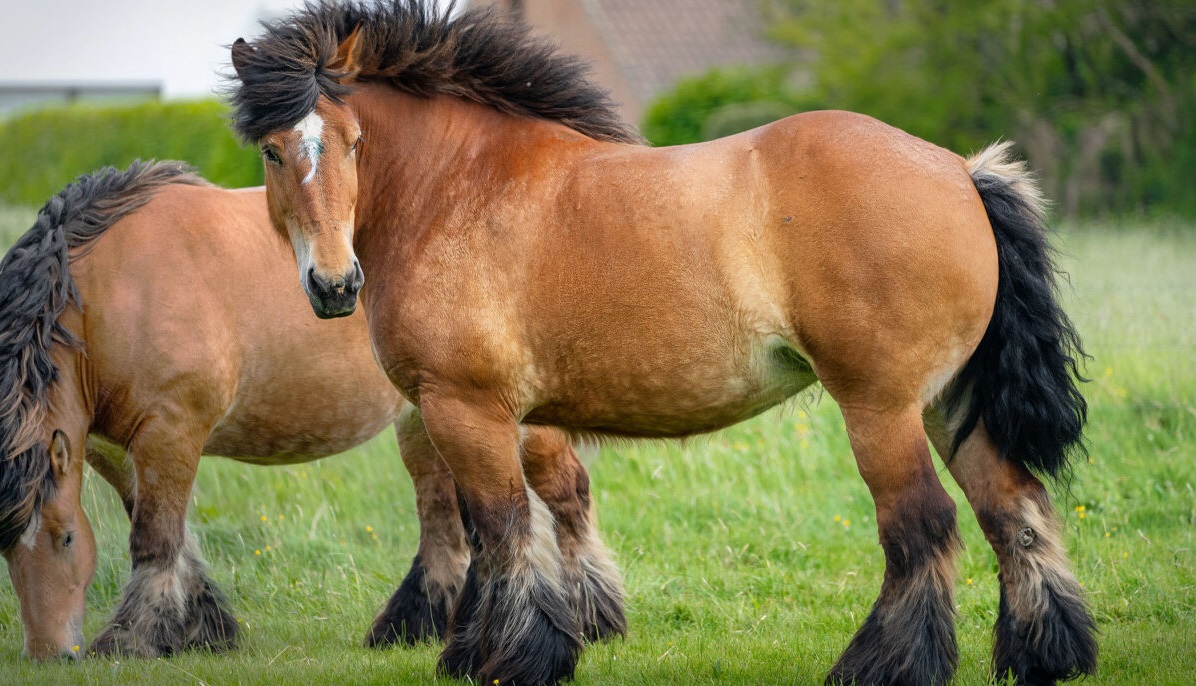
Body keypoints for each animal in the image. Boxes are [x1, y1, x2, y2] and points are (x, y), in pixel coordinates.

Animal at [0, 161, 624, 661]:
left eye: (65, 539)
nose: (48, 654)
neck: (114, 290)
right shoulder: (114, 446)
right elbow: (169, 537)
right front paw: (203, 628)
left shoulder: (170, 432)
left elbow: (154, 539)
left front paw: (132, 640)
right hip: (427, 421)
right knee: (446, 519)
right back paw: (417, 626)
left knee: (566, 493)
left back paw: (595, 617)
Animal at [226, 2, 1097, 685]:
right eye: (273, 149)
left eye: (352, 142)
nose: (334, 286)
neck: (458, 189)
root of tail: (959, 171)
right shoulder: (495, 418)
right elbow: (502, 528)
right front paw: (485, 650)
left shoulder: (464, 409)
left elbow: (500, 530)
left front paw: (514, 659)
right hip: (951, 404)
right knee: (1012, 509)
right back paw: (1044, 655)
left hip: (881, 410)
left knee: (922, 527)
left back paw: (884, 666)